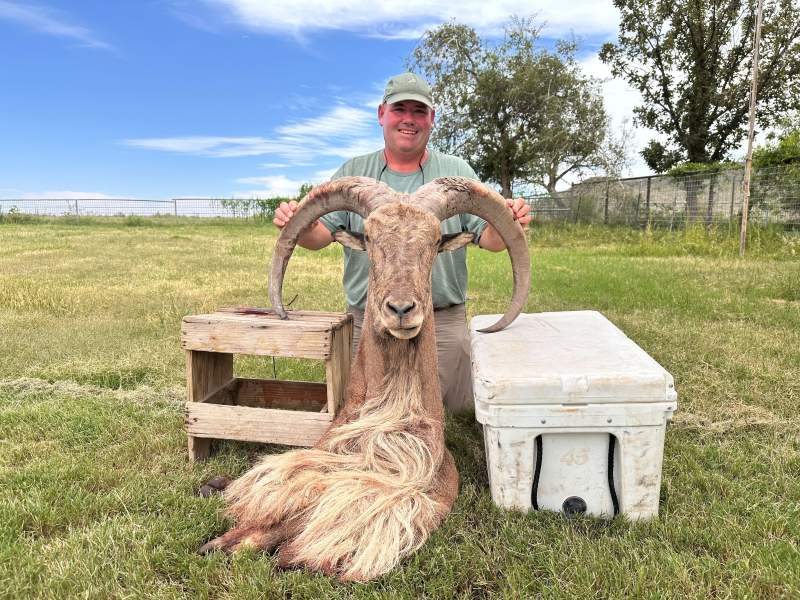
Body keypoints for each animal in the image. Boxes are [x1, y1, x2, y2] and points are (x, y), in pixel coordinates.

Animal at [200, 176, 530, 581]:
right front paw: (228, 530)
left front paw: (257, 546)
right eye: (370, 237)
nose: (401, 310)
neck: (391, 409)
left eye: (435, 240)